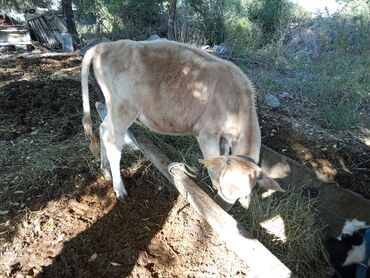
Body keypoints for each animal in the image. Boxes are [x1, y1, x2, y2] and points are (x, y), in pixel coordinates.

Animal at [81, 38, 284, 210]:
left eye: (243, 193)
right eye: (224, 186)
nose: (224, 207)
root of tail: (104, 46)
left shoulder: (223, 138)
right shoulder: (207, 134)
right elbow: (213, 167)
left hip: (115, 108)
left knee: (103, 128)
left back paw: (105, 170)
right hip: (123, 109)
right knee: (113, 142)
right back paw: (120, 189)